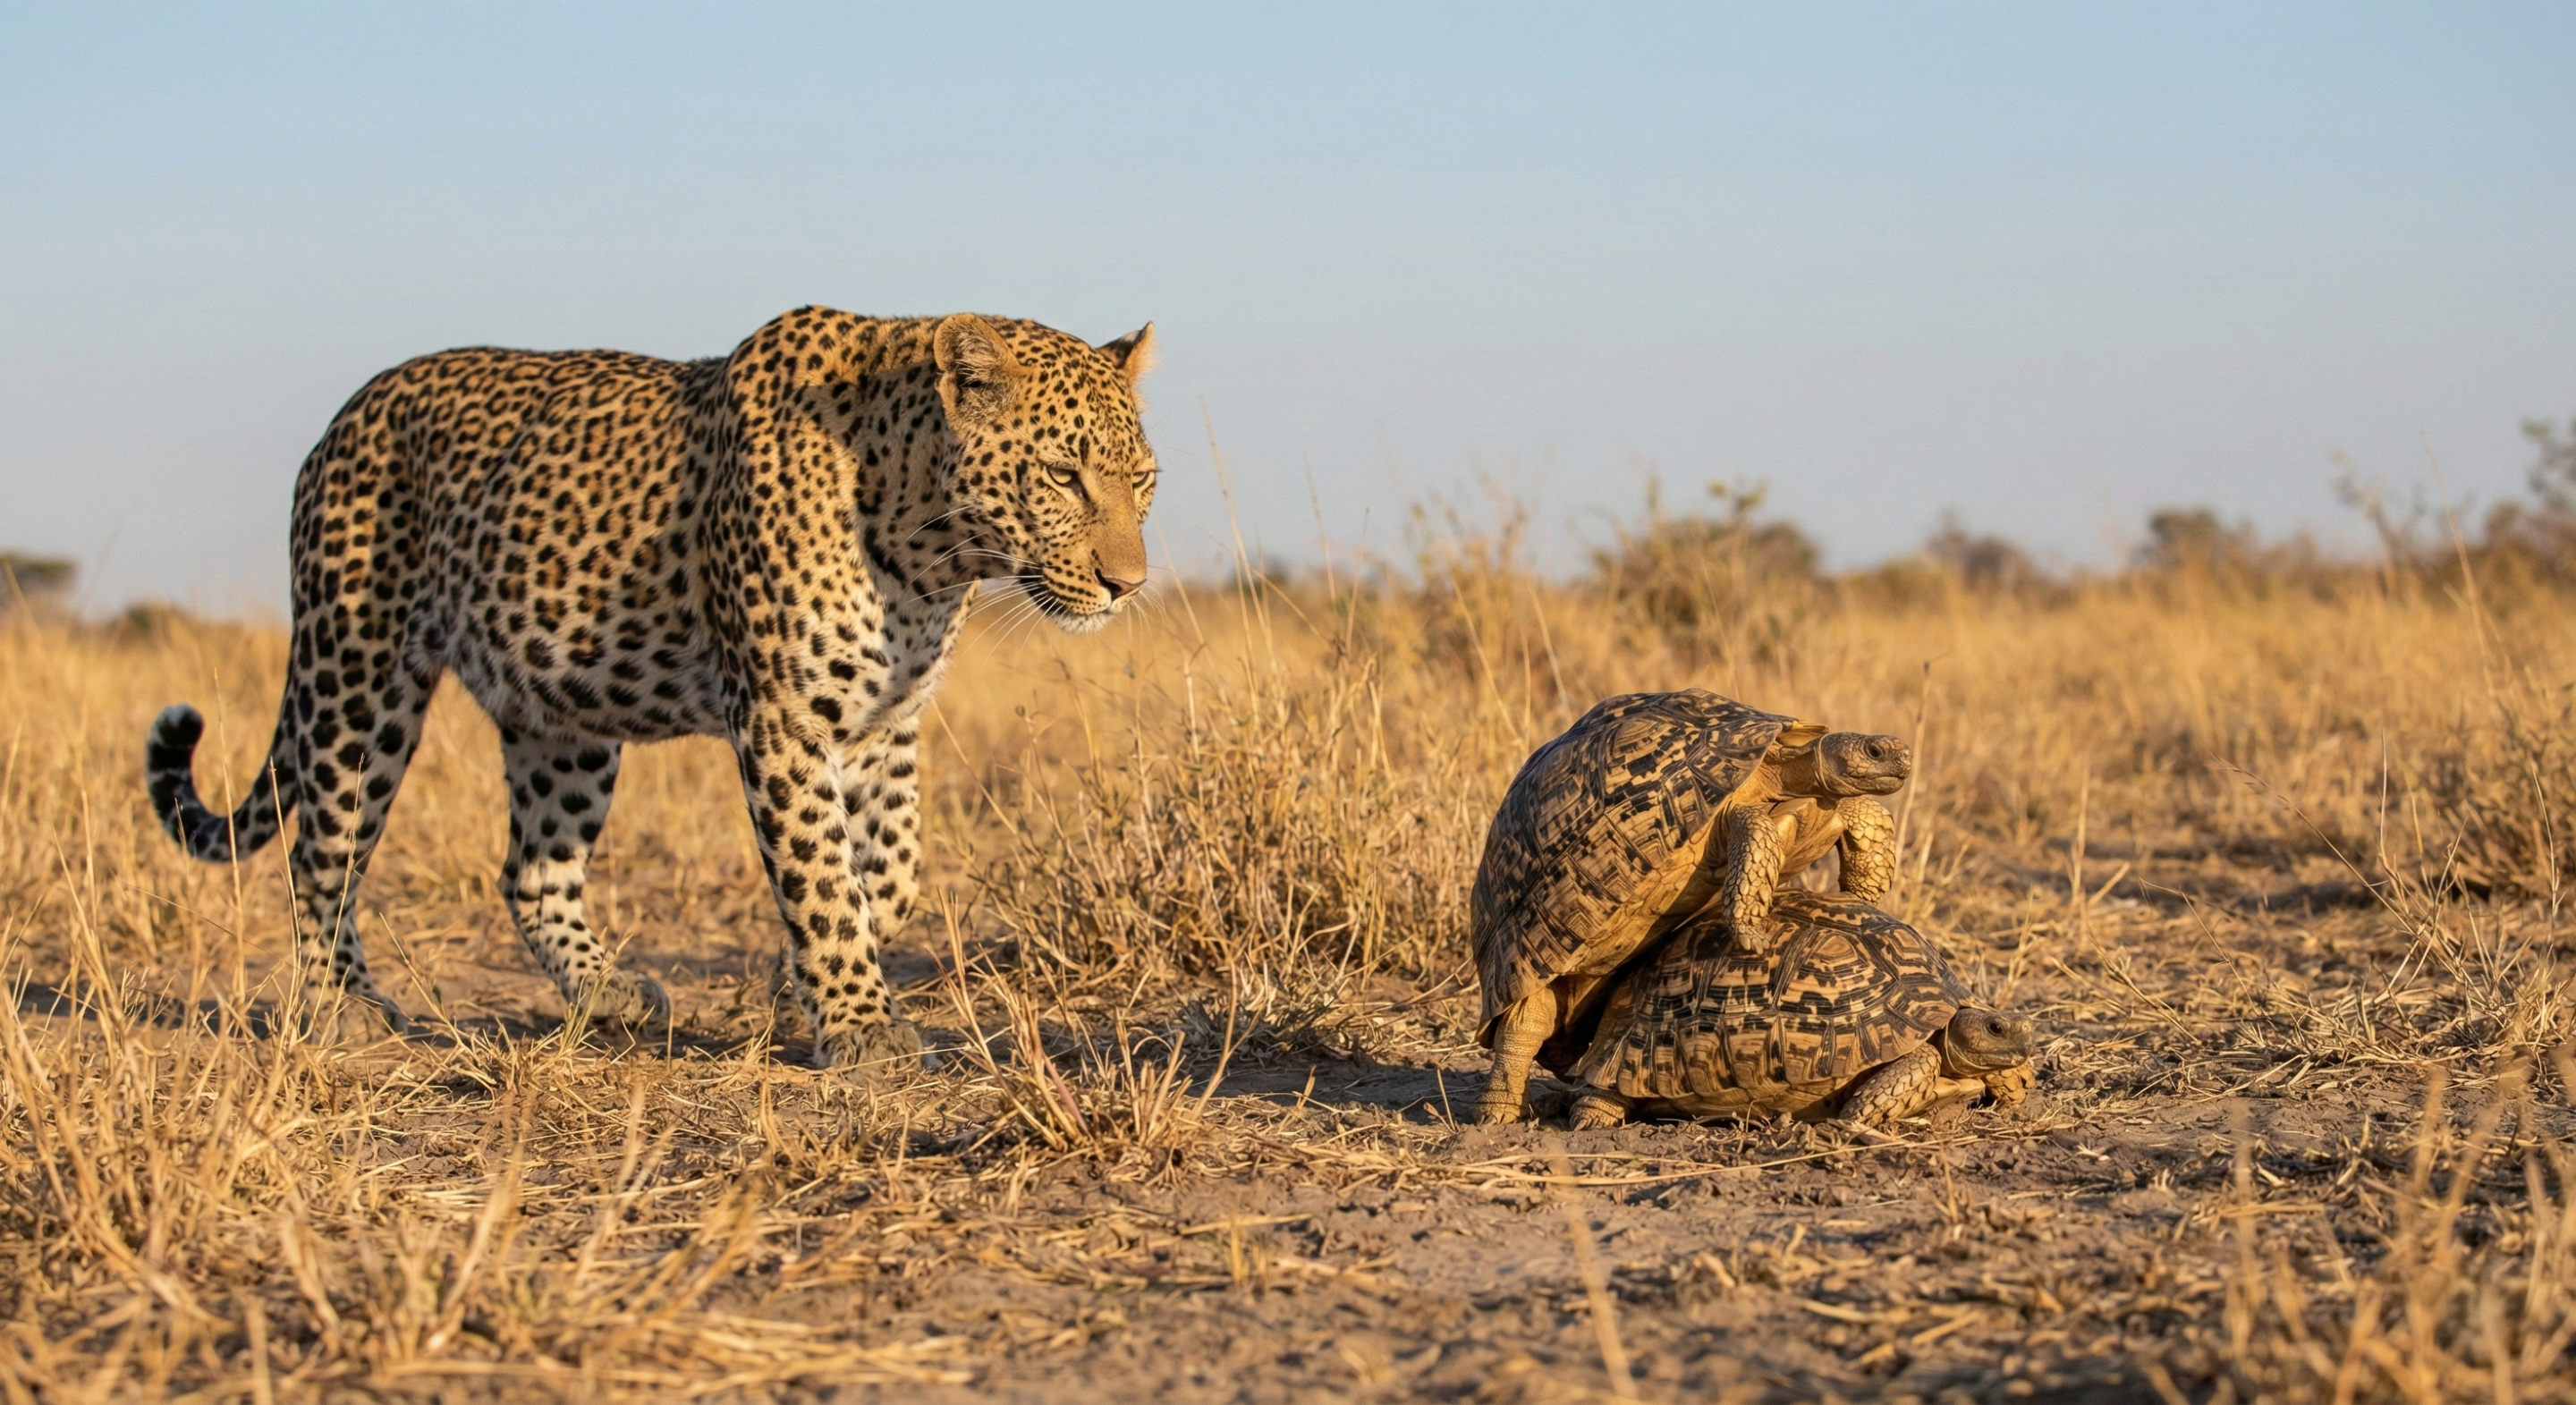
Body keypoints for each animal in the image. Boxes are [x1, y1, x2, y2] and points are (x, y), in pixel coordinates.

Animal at [143, 307, 1157, 1073]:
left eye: (1142, 480)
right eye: (1062, 476)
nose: (1128, 585)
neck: (931, 552)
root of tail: (347, 412)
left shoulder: (883, 723)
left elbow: (893, 867)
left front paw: (803, 982)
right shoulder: (782, 721)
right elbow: (820, 868)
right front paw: (860, 1025)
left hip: (562, 714)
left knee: (531, 869)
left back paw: (609, 992)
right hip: (357, 673)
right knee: (320, 850)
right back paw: (339, 1003)